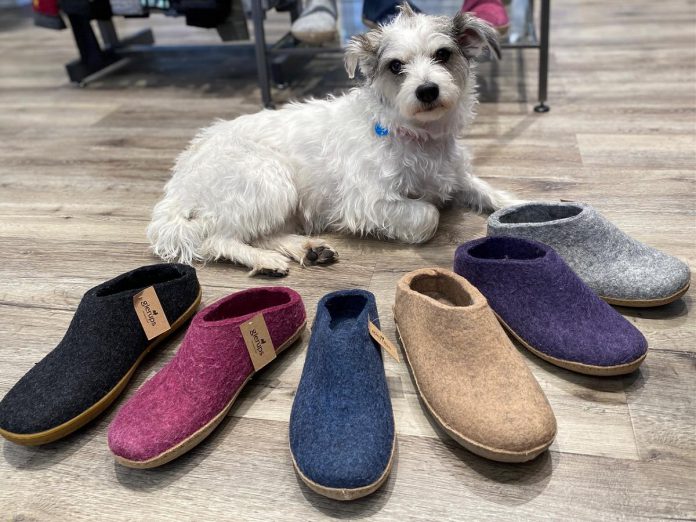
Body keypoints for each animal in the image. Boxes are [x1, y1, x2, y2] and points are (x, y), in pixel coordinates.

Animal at [148, 6, 516, 274]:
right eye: (396, 66)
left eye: (443, 55)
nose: (427, 90)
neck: (416, 134)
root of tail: (178, 187)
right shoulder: (367, 203)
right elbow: (428, 215)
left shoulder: (454, 174)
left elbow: (489, 192)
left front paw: (516, 205)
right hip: (271, 180)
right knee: (217, 239)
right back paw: (265, 261)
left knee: (262, 233)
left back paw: (307, 249)